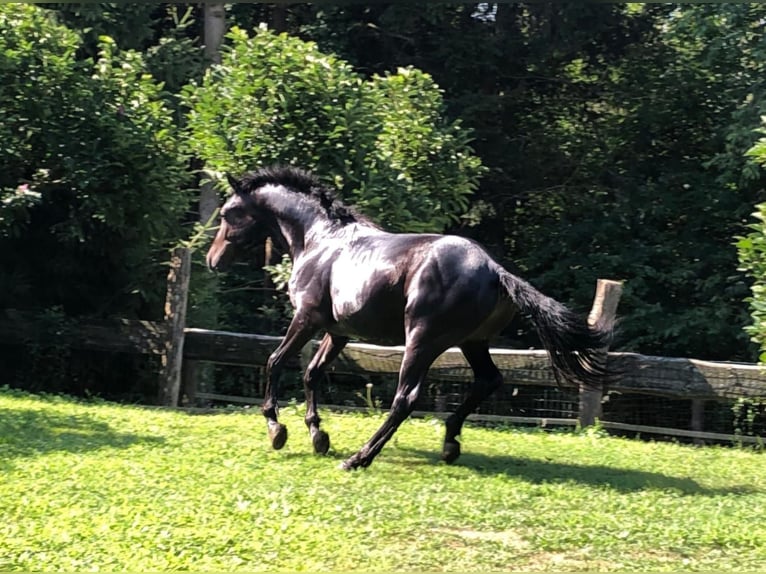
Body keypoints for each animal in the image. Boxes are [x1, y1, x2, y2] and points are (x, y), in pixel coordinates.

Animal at [207, 166, 616, 472]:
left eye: (227, 214)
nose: (213, 260)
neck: (319, 242)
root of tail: (494, 269)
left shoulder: (306, 319)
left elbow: (275, 362)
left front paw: (277, 429)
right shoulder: (337, 333)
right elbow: (312, 373)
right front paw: (317, 436)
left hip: (422, 339)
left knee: (406, 398)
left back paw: (359, 458)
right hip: (472, 342)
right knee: (488, 380)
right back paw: (450, 444)